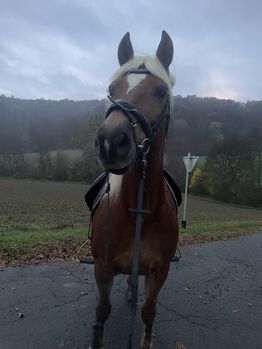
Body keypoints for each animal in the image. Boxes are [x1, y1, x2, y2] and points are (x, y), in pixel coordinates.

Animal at [88, 30, 180, 348]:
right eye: (112, 89)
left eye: (161, 92)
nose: (110, 141)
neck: (139, 208)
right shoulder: (102, 268)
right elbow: (102, 311)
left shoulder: (160, 271)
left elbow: (148, 312)